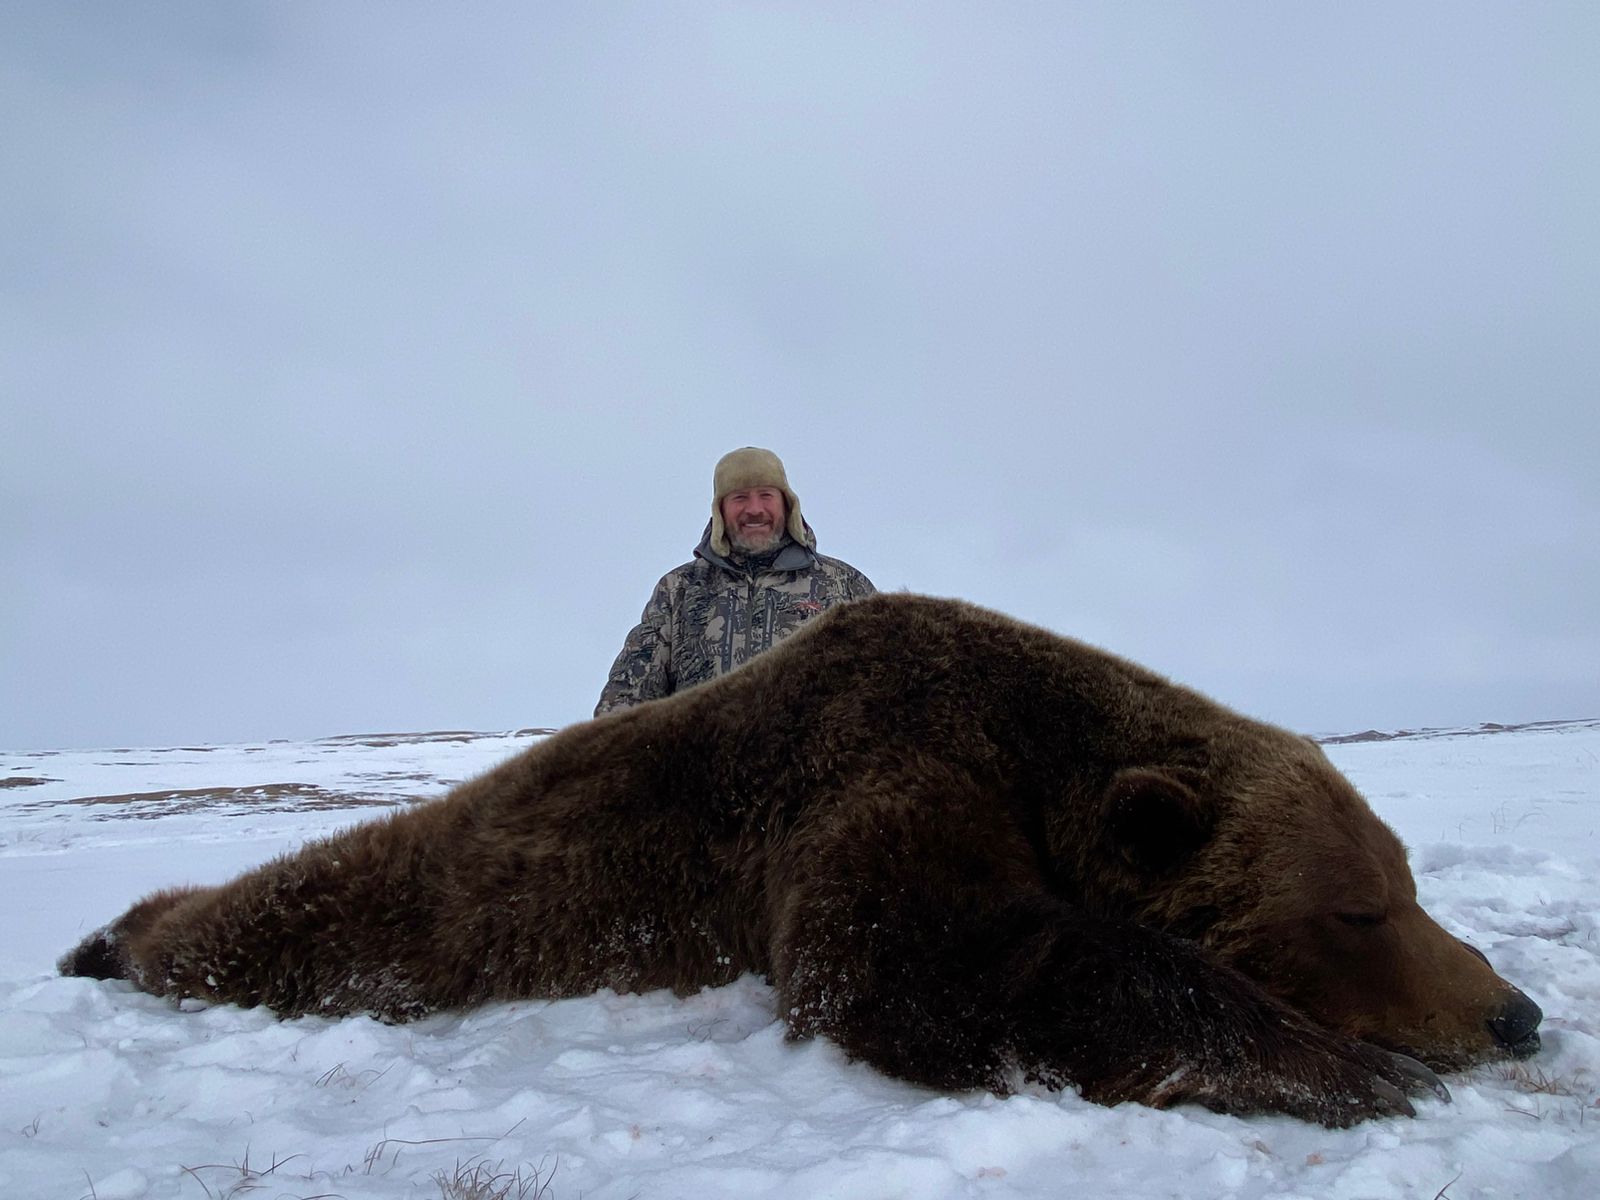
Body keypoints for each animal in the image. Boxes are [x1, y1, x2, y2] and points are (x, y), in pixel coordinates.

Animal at [59, 593, 1543, 1127]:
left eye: (1407, 888)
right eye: (1357, 911)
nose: (1514, 1014)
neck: (1028, 737)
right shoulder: (875, 758)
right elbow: (898, 958)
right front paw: (1345, 1065)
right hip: (365, 911)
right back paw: (103, 937)